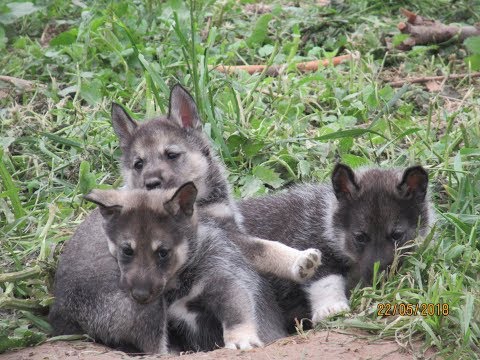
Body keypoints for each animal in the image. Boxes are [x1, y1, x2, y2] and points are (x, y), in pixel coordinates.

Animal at [242, 165, 434, 328]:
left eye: (396, 235)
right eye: (360, 237)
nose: (378, 280)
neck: (326, 221)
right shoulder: (310, 242)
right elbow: (325, 279)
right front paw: (330, 308)